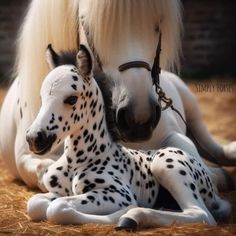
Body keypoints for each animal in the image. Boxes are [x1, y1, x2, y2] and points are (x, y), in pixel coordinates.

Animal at [0, 0, 236, 190]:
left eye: (158, 25)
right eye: (87, 26)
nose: (139, 119)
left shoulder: (172, 134)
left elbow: (189, 151)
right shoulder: (26, 157)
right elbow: (46, 169)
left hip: (192, 109)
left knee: (210, 145)